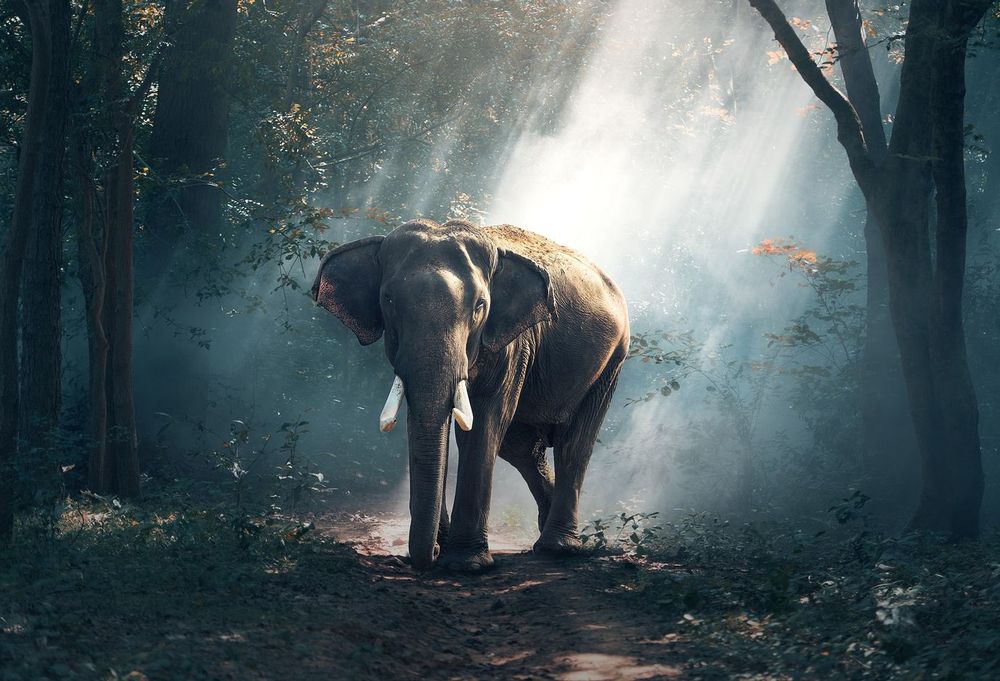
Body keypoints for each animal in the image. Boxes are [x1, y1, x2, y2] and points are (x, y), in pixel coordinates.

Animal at [311, 219, 629, 571]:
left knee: (574, 443)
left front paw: (466, 564)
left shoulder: (512, 344)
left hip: (612, 361)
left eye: (480, 306)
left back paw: (558, 548)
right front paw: (445, 548)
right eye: (388, 300)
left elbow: (485, 423)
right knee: (521, 447)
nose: (429, 556)